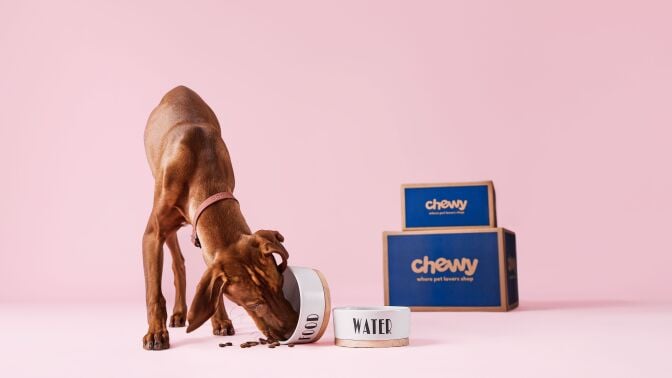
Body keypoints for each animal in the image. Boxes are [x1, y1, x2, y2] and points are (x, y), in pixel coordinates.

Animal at [142, 86, 296, 352]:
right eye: (254, 303)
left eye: (279, 286)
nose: (289, 331)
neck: (200, 172)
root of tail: (179, 88)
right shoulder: (152, 236)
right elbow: (154, 294)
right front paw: (155, 333)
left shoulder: (208, 245)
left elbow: (213, 290)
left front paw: (221, 320)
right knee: (176, 260)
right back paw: (177, 313)